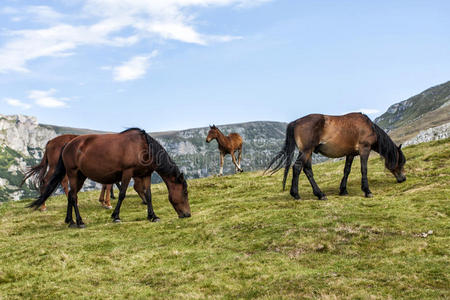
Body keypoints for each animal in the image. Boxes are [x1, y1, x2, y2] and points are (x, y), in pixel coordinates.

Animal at [27, 127, 190, 229]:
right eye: (185, 192)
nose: (187, 214)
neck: (143, 147)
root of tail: (67, 144)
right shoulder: (127, 172)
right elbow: (122, 194)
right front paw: (115, 216)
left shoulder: (145, 175)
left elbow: (148, 195)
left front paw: (153, 216)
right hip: (73, 174)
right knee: (72, 196)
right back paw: (79, 221)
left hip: (80, 177)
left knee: (71, 196)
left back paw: (70, 220)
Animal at [266, 112, 406, 199]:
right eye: (401, 162)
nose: (403, 179)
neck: (368, 127)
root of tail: (296, 122)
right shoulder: (364, 149)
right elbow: (364, 169)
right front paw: (367, 191)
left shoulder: (351, 153)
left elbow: (347, 170)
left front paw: (343, 190)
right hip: (306, 151)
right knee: (297, 167)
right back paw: (298, 194)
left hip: (307, 152)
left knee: (307, 170)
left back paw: (319, 194)